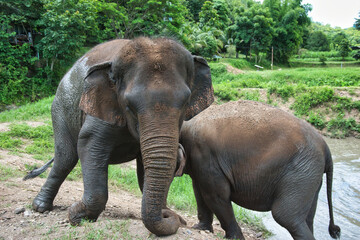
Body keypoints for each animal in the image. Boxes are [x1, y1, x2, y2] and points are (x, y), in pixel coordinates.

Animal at [23, 37, 214, 236]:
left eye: (185, 103)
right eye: (129, 105)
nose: (176, 218)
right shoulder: (102, 105)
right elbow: (89, 144)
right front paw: (78, 215)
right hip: (60, 107)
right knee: (65, 158)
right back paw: (40, 207)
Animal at [177, 100, 340, 240]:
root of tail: (326, 148)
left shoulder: (206, 155)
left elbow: (216, 196)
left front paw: (235, 238)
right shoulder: (199, 163)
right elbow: (199, 192)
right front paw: (200, 228)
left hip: (301, 171)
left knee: (285, 216)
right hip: (310, 174)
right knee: (306, 218)